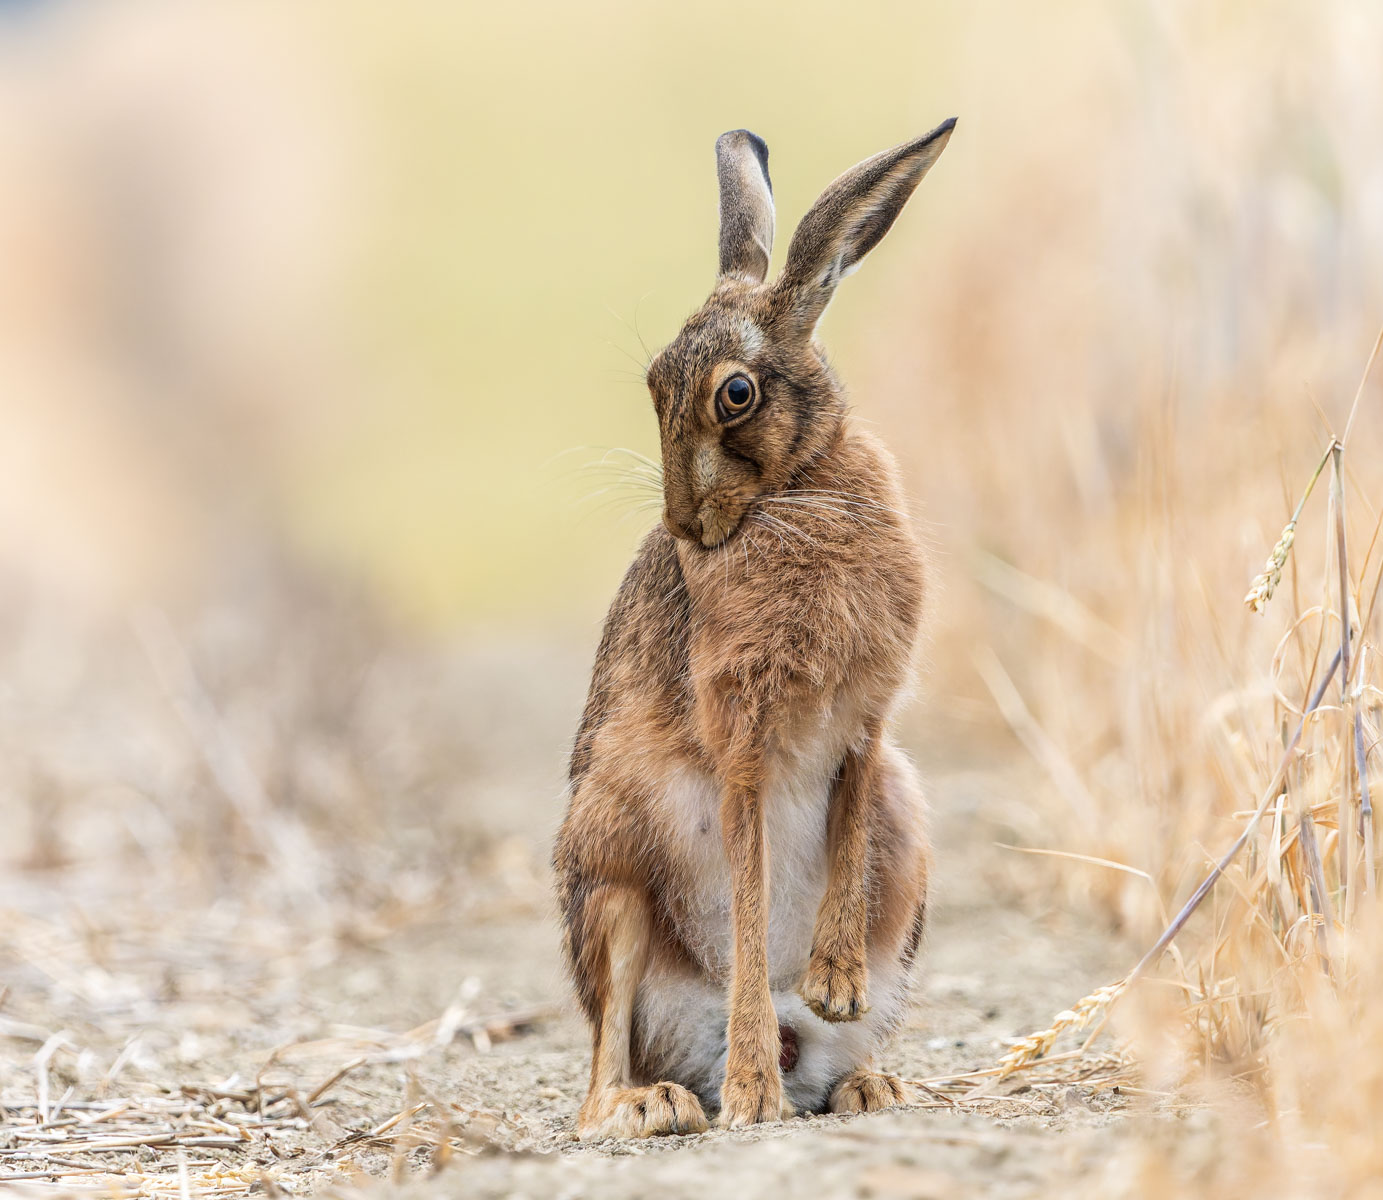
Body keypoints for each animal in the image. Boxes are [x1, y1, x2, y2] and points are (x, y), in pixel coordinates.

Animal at [553, 118, 956, 1140]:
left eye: (734, 396)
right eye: (653, 384)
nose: (686, 526)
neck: (796, 490)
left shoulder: (863, 728)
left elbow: (845, 833)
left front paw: (835, 984)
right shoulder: (742, 737)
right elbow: (746, 891)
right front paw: (748, 1100)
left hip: (910, 854)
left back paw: (865, 1081)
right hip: (607, 872)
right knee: (597, 1072)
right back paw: (667, 1101)